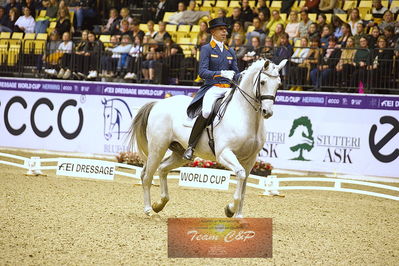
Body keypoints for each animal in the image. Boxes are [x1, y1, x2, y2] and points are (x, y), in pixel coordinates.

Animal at [130, 58, 286, 218]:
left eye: (278, 84)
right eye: (263, 82)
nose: (267, 112)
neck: (244, 116)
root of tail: (158, 103)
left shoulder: (250, 160)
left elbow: (243, 186)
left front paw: (238, 216)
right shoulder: (224, 154)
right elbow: (240, 176)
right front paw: (230, 209)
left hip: (179, 153)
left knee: (162, 169)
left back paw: (159, 204)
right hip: (158, 148)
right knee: (147, 176)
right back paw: (149, 209)